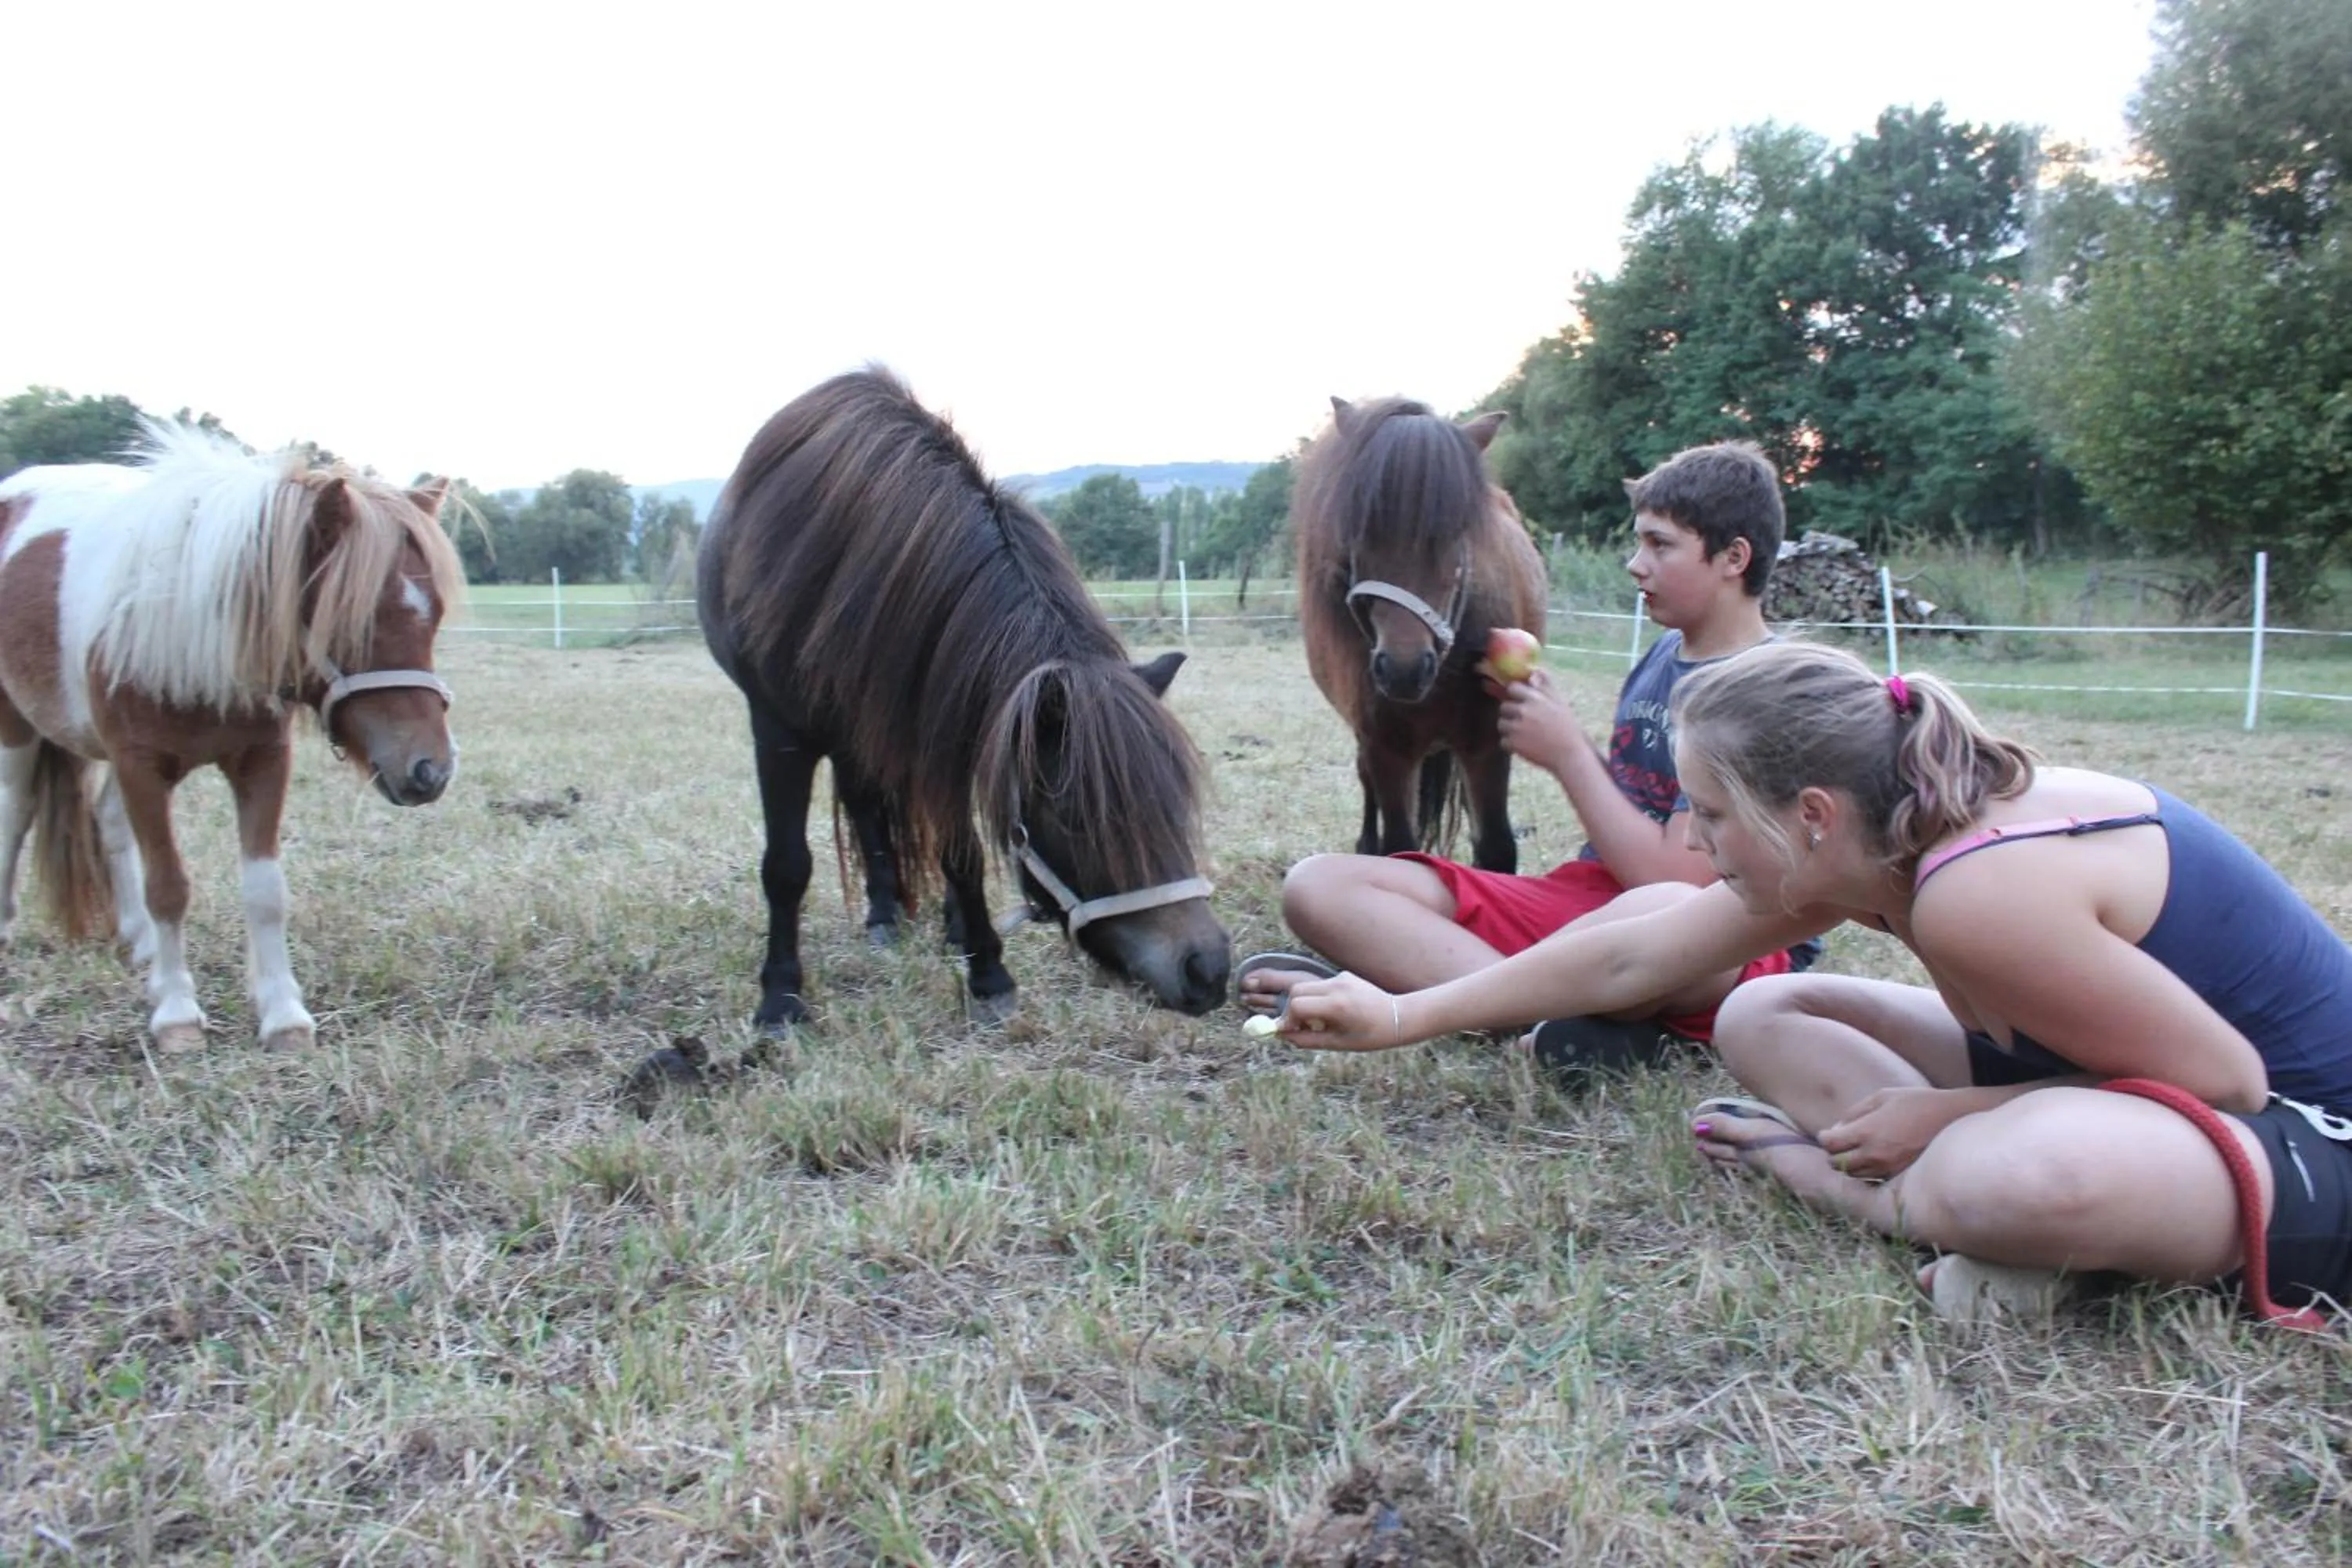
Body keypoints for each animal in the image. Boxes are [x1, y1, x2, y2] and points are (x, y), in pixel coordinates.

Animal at [0, 426, 463, 1052]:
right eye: (350, 621)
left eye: (434, 616)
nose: (429, 770)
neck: (188, 629)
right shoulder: (141, 765)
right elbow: (168, 887)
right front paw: (177, 1014)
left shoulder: (262, 761)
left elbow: (265, 891)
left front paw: (283, 1015)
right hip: (20, 733)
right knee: (15, 816)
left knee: (109, 824)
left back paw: (140, 945)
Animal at [696, 366, 1231, 1029]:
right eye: (1079, 817)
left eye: (1176, 804)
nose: (1207, 969)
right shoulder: (778, 730)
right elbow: (787, 866)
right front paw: (779, 999)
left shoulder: (943, 723)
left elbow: (961, 854)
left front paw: (986, 971)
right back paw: (883, 917)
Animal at [1294, 395, 1548, 872]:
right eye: (1359, 528)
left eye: (1456, 531)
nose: (1404, 669)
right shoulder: (1386, 751)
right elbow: (1399, 847)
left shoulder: (1487, 746)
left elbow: (1496, 849)